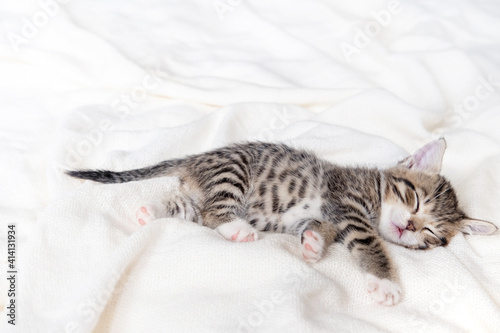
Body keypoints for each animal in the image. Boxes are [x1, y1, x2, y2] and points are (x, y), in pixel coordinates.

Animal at [67, 138, 496, 306]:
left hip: (198, 191)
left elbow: (318, 229)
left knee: (186, 207)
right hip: (233, 172)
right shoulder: (349, 205)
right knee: (212, 212)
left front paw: (313, 245)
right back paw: (238, 228)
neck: (375, 193)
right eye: (414, 199)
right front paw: (387, 283)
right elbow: (371, 244)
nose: (408, 227)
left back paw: (148, 212)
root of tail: (196, 159)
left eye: (431, 232)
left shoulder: (333, 215)